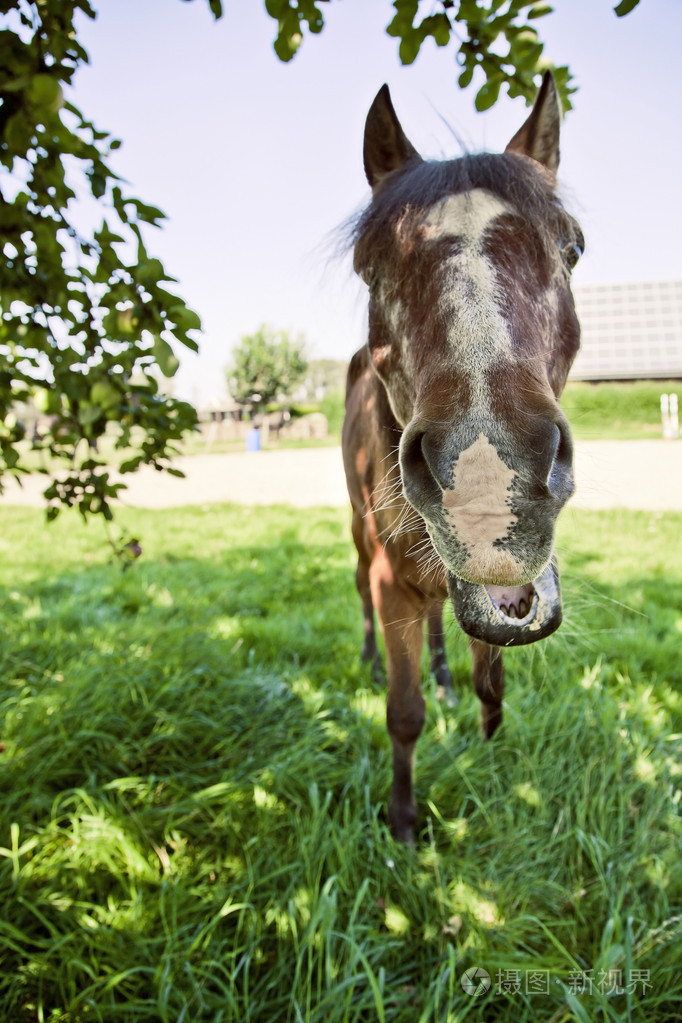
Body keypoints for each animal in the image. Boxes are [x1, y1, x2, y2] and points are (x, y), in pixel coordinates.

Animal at [342, 72, 583, 844]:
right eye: (368, 268)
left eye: (573, 248)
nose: (486, 481)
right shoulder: (391, 583)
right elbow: (403, 712)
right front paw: (402, 822)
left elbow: (491, 680)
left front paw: (493, 756)